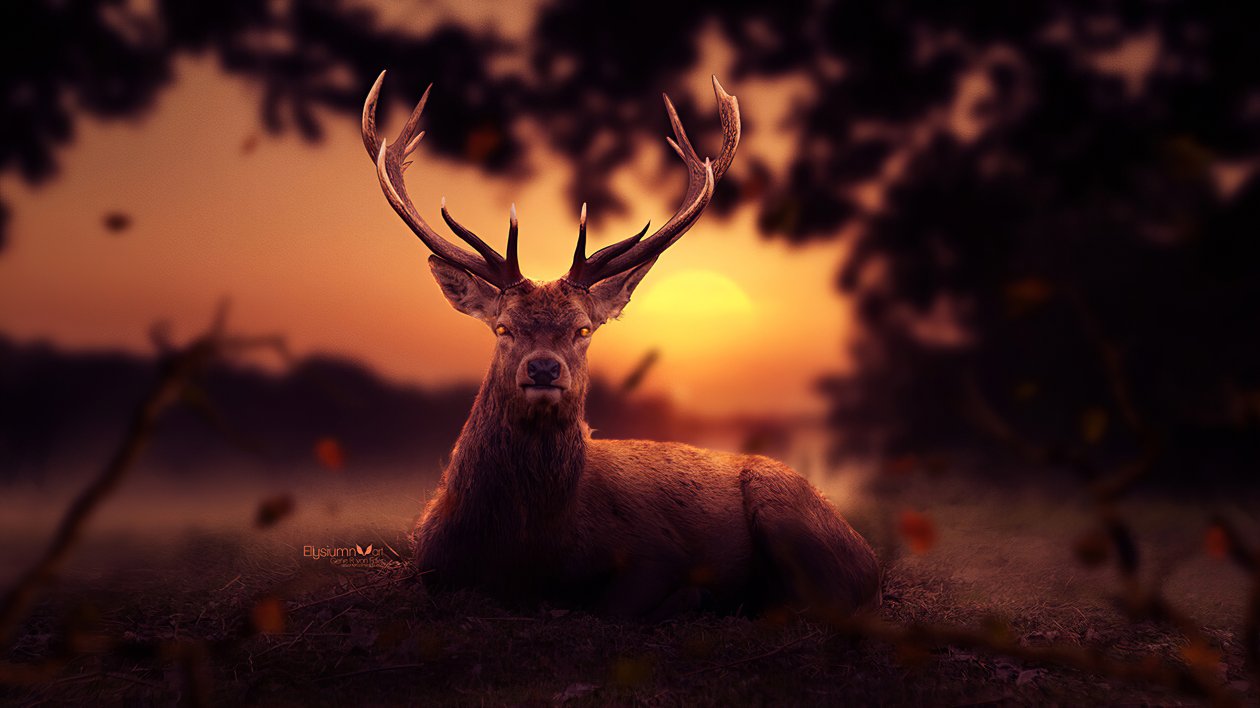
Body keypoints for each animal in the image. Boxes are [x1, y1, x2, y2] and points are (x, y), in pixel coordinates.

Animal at [361, 71, 880, 620]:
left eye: (584, 329)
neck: (525, 547)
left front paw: (694, 595)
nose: (543, 369)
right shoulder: (429, 559)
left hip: (783, 506)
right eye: (502, 327)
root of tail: (869, 558)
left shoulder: (656, 553)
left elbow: (616, 602)